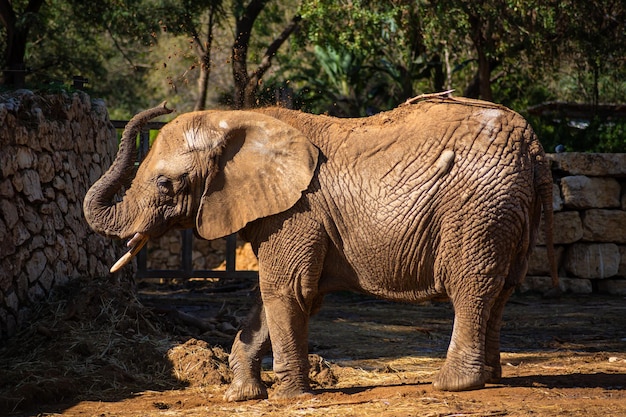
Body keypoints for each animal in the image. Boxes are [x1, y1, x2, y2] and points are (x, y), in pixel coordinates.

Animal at [83, 93, 556, 400]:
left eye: (165, 184)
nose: (162, 105)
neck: (237, 120)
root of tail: (535, 148)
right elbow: (273, 295)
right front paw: (240, 396)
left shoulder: (297, 210)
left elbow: (286, 289)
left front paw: (289, 397)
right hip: (510, 210)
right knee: (503, 288)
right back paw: (491, 378)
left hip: (478, 208)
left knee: (472, 284)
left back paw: (453, 384)